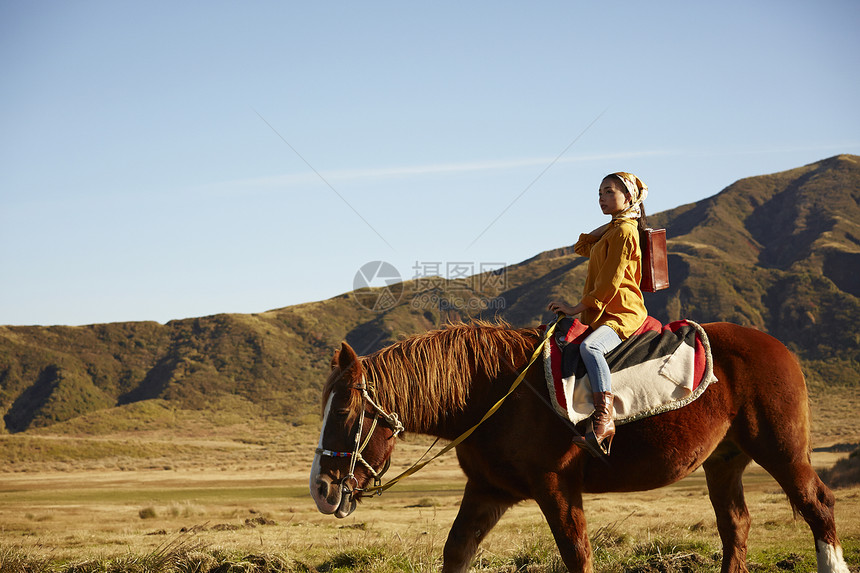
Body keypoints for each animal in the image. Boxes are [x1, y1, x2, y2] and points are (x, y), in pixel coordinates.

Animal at [308, 322, 848, 572]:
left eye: (345, 414)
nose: (321, 489)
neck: (493, 393)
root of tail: (777, 346)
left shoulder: (557, 487)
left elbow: (576, 553)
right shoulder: (488, 490)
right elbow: (456, 551)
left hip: (782, 452)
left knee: (818, 505)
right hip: (724, 462)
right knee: (736, 524)